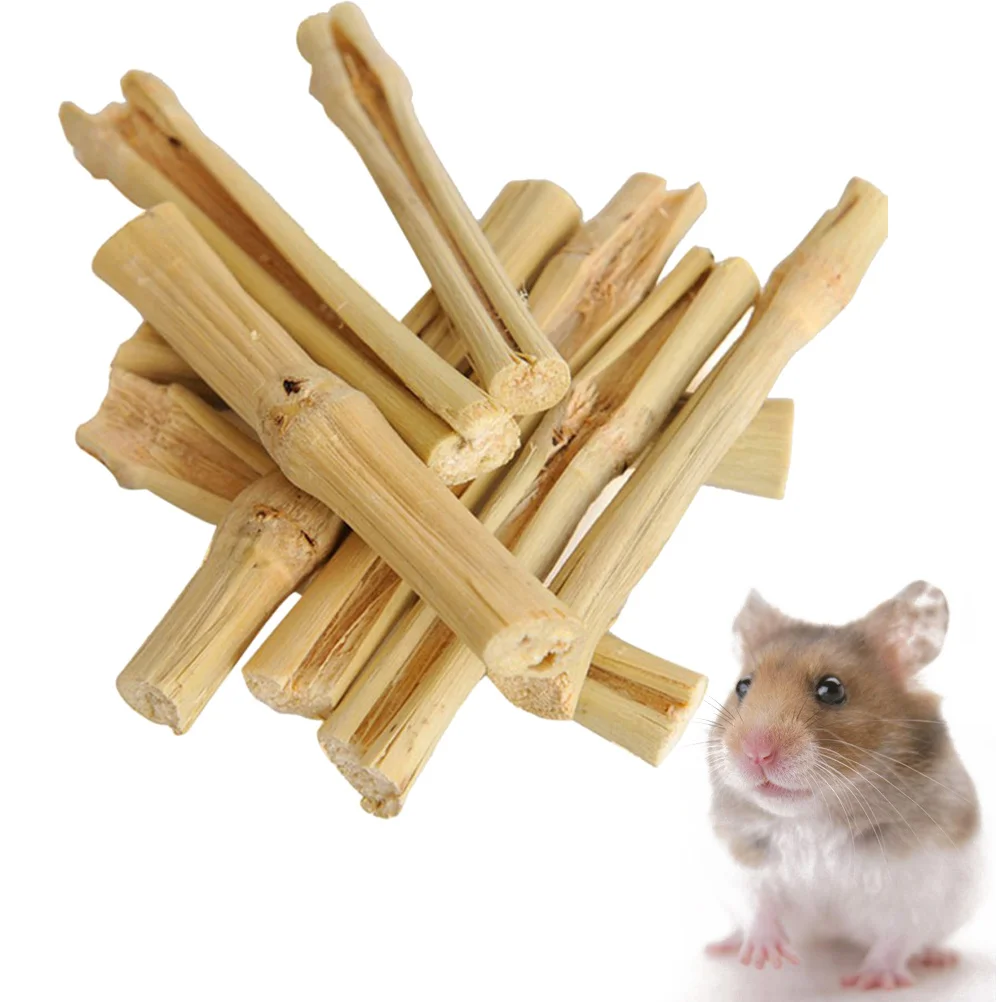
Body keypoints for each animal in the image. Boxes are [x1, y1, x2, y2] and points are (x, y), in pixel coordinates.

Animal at [705, 581, 981, 990]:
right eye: (742, 686)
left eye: (831, 690)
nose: (755, 752)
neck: (813, 817)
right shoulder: (742, 860)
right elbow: (759, 907)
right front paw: (765, 959)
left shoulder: (921, 882)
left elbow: (898, 935)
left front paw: (871, 981)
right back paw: (721, 947)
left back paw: (938, 958)